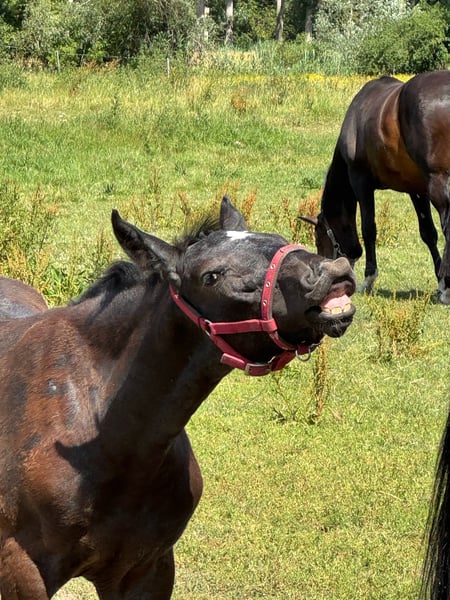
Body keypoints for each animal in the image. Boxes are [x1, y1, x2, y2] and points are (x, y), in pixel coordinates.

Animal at [300, 70, 450, 304]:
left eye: (318, 238)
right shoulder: (416, 189)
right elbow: (428, 233)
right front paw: (440, 281)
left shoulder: (361, 182)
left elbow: (368, 228)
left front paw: (369, 279)